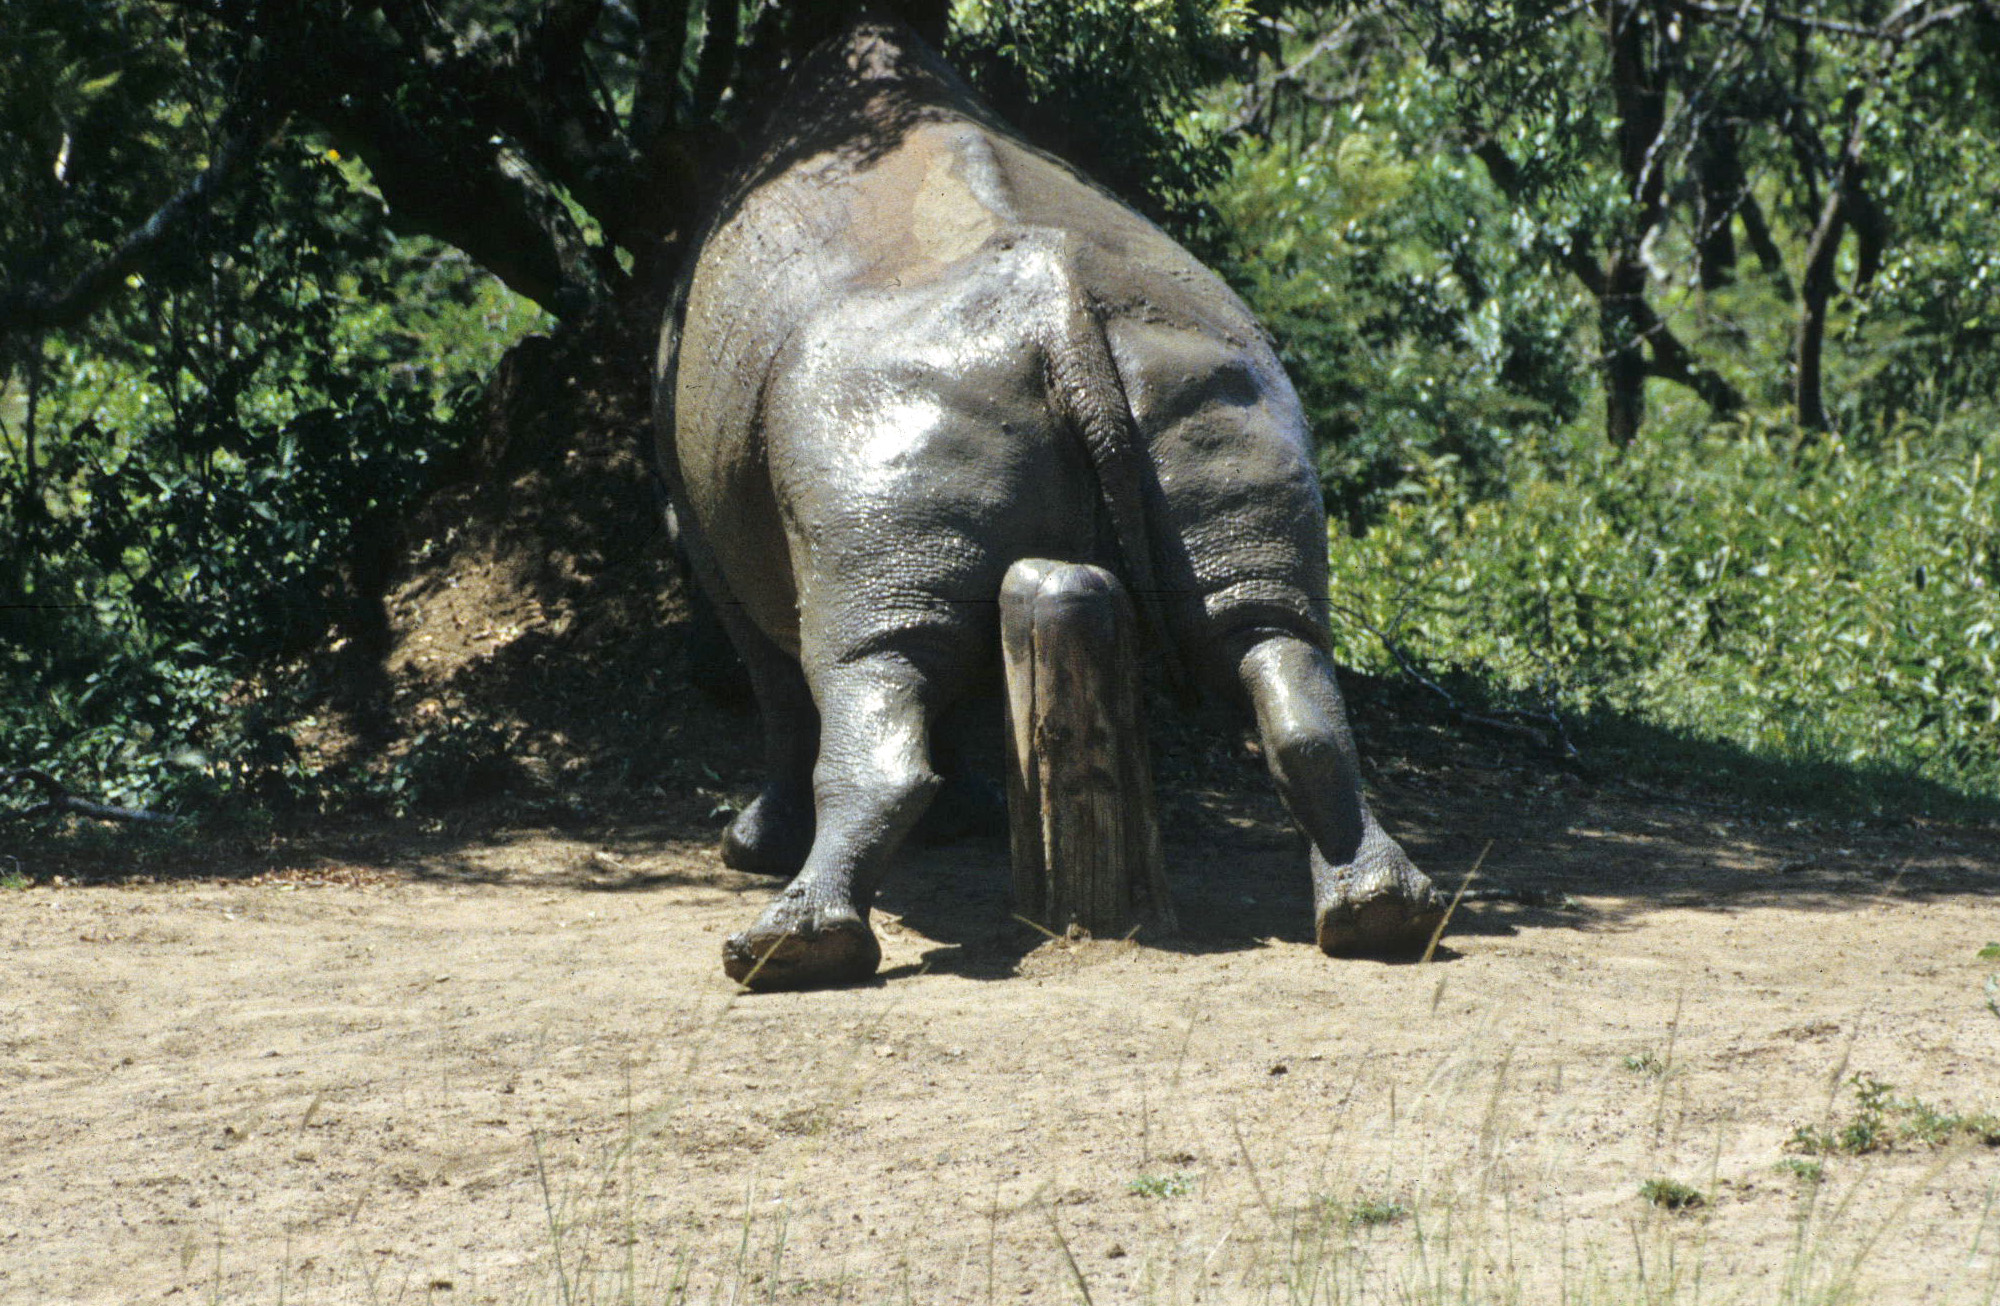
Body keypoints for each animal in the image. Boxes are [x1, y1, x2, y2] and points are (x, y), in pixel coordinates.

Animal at [656, 17, 1445, 989]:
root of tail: (1063, 314)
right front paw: (968, 818)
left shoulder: (707, 532)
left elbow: (778, 694)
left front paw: (750, 846)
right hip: (1225, 380)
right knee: (1271, 635)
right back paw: (1385, 921)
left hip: (870, 434)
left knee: (859, 662)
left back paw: (780, 951)